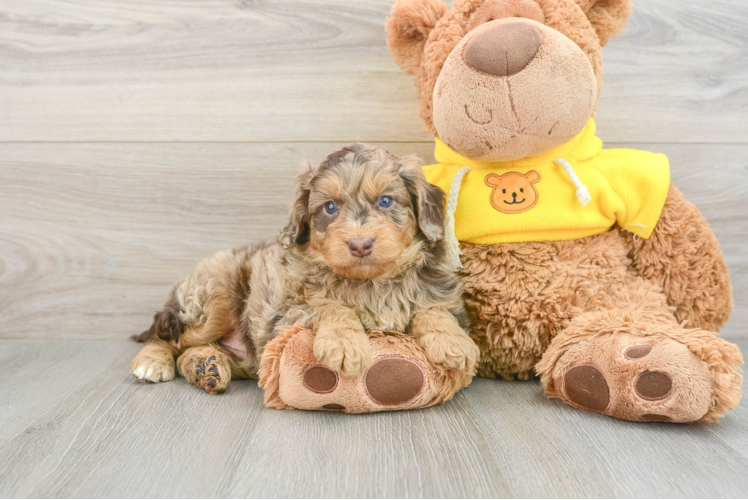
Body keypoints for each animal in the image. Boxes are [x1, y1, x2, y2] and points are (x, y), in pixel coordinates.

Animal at [130, 143, 480, 392]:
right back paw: (152, 363)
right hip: (213, 298)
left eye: (385, 201)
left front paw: (454, 343)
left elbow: (433, 309)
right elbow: (329, 306)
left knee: (191, 348)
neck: (371, 282)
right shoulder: (285, 315)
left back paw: (207, 367)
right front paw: (344, 342)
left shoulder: (446, 299)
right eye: (330, 208)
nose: (360, 244)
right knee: (166, 336)